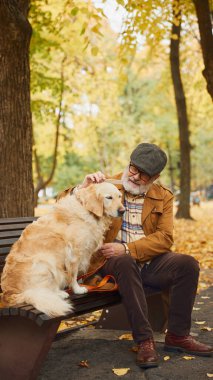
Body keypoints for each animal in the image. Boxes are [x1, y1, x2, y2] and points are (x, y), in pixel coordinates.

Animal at [0, 183, 125, 316]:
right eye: (109, 197)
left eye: (119, 196)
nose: (122, 211)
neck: (87, 210)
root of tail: (8, 293)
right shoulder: (74, 252)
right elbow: (73, 275)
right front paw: (77, 289)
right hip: (45, 262)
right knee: (41, 291)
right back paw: (60, 293)